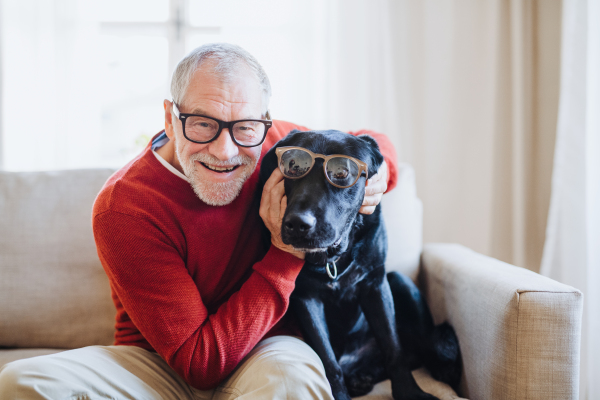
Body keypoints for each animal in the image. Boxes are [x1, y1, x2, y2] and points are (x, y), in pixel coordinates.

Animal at [256, 130, 460, 398]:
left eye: (342, 172)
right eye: (292, 165)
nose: (298, 224)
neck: (332, 259)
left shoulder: (375, 284)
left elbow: (393, 348)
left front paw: (409, 392)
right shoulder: (306, 299)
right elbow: (329, 362)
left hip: (400, 281)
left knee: (423, 348)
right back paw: (359, 380)